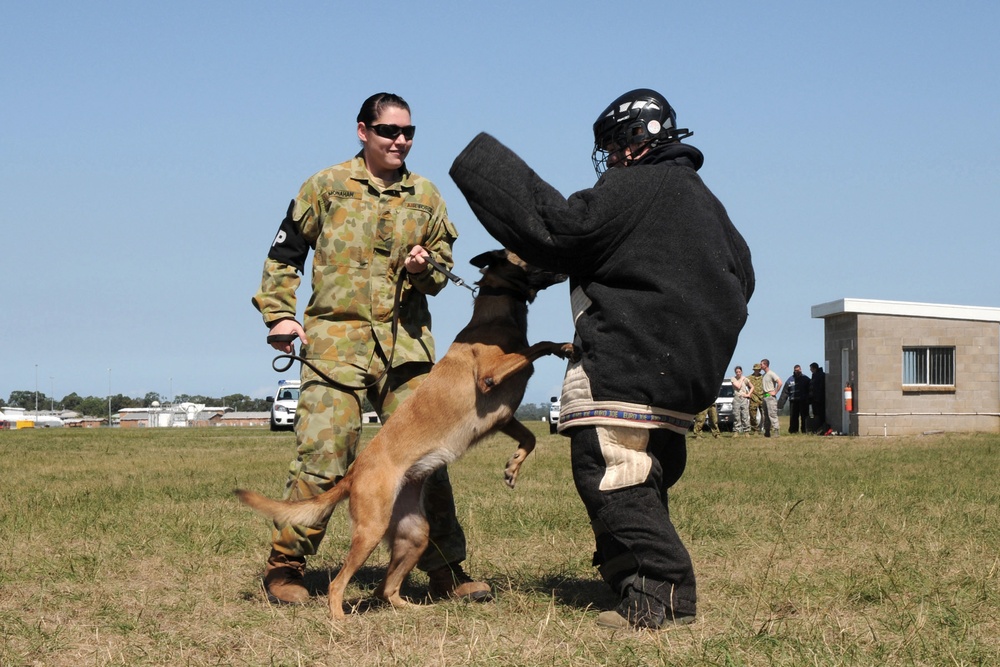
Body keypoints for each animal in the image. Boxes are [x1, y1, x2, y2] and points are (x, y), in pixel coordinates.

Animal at [234, 250, 576, 620]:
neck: (495, 315)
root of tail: (353, 473)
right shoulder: (489, 375)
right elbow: (539, 345)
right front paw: (565, 346)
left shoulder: (504, 418)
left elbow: (531, 438)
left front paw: (513, 467)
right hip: (371, 529)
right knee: (337, 584)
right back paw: (338, 619)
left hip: (414, 535)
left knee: (386, 589)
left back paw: (413, 608)